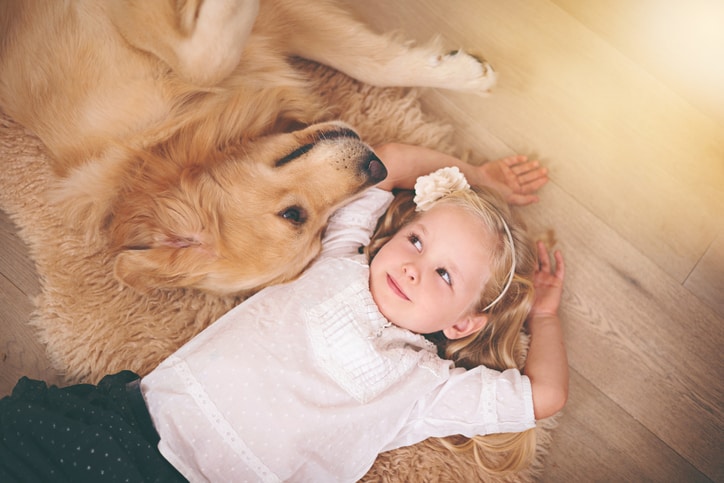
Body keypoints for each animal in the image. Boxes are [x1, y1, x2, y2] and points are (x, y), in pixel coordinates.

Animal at [0, 0, 498, 294]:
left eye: (314, 224)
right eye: (295, 216)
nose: (378, 166)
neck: (160, 135)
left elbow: (370, 64)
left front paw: (463, 74)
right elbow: (209, 57)